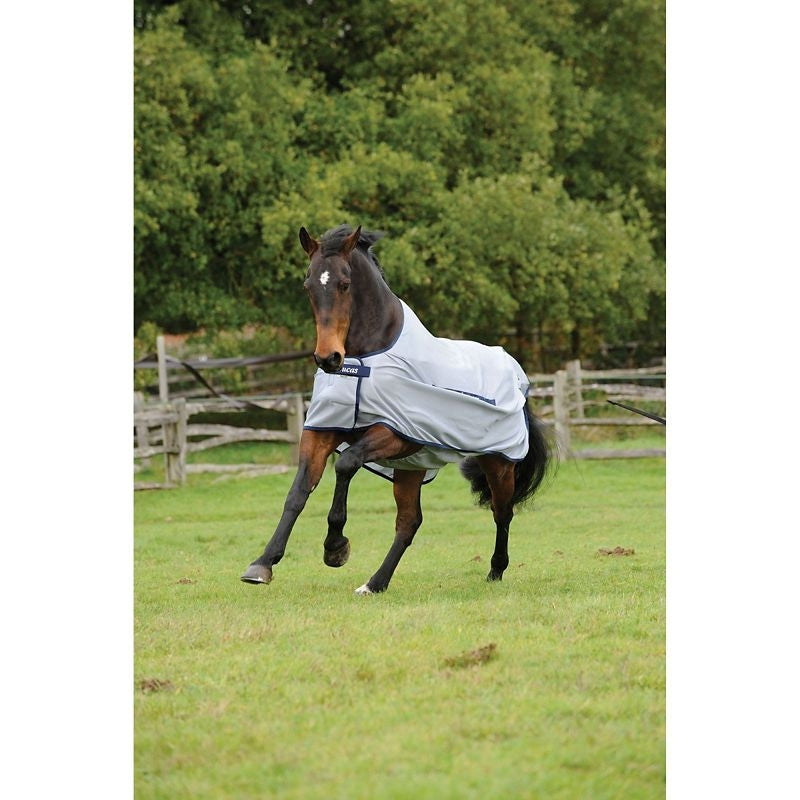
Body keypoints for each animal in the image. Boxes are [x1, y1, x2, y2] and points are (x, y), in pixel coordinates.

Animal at [241, 224, 552, 594]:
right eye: (308, 285)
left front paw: (335, 547)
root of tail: (517, 376)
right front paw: (262, 563)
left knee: (502, 511)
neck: (364, 363)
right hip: (411, 468)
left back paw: (495, 570)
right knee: (409, 523)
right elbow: (298, 492)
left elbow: (345, 464)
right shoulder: (323, 431)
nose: (328, 357)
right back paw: (375, 583)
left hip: (498, 463)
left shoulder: (397, 435)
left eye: (344, 283)